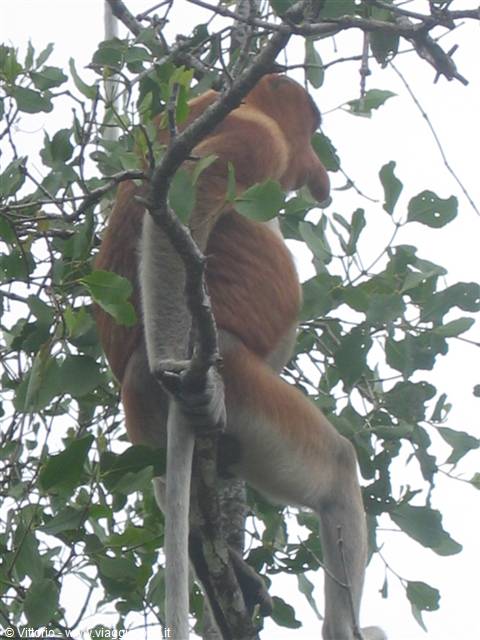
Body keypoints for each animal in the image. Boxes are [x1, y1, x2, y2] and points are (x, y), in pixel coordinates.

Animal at [94, 74, 386, 640]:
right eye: (310, 128)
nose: (319, 174)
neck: (227, 101)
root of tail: (134, 385)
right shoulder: (258, 138)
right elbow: (188, 193)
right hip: (245, 389)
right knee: (338, 470)